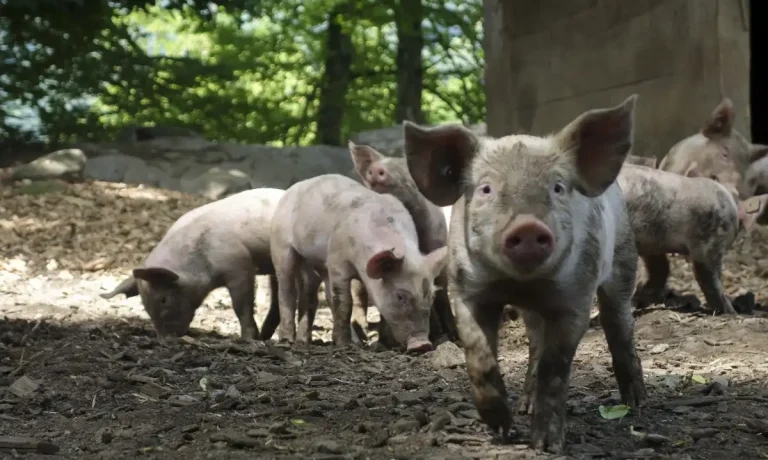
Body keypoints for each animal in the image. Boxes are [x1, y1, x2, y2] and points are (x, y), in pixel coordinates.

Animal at [99, 188, 319, 340]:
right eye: (144, 305)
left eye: (163, 299)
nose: (165, 339)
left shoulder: (240, 265)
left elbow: (241, 304)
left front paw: (247, 338)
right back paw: (266, 337)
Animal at [269, 173, 448, 352]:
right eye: (400, 296)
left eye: (431, 295)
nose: (423, 344)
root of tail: (295, 187)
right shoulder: (337, 260)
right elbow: (344, 302)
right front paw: (344, 345)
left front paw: (384, 345)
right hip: (281, 245)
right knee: (287, 290)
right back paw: (287, 341)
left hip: (314, 264)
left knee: (314, 295)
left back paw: (309, 342)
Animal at [348, 141, 458, 343]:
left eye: (406, 168)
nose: (376, 168)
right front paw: (386, 342)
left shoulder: (438, 246)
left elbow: (441, 293)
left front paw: (453, 337)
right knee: (359, 296)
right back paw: (362, 334)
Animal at [401, 95, 647, 453]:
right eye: (486, 189)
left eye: (558, 187)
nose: (528, 226)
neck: (521, 285)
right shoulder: (466, 288)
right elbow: (479, 356)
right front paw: (501, 429)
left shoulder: (576, 295)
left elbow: (555, 368)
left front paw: (547, 446)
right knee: (535, 346)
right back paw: (523, 406)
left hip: (624, 260)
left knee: (619, 326)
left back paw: (637, 404)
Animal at [619, 162, 768, 315]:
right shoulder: (709, 242)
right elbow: (709, 277)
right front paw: (731, 312)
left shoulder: (653, 243)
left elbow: (661, 268)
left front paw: (638, 301)